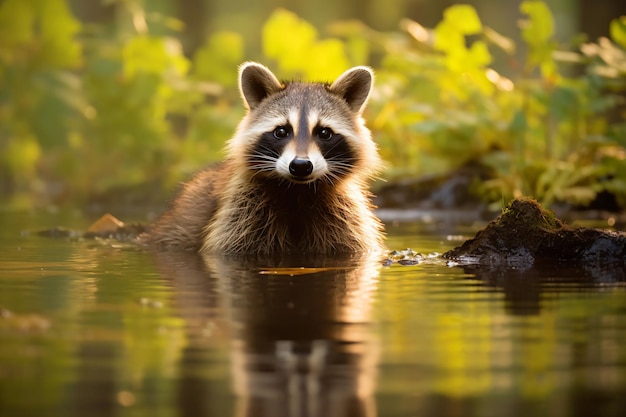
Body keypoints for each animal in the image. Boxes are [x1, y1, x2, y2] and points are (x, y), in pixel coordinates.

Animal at [144, 62, 382, 255]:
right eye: (281, 131)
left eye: (324, 133)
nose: (301, 166)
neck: (298, 192)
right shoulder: (241, 212)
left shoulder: (345, 218)